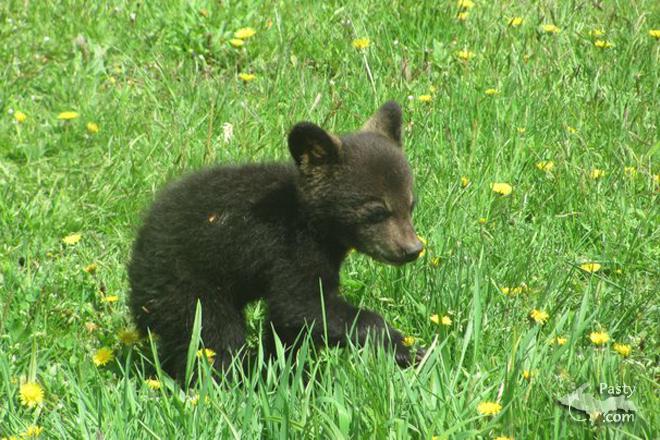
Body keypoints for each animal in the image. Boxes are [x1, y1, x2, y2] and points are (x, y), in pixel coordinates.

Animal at [128, 101, 424, 380]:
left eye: (410, 206)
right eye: (377, 211)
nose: (413, 249)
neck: (310, 221)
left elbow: (288, 327)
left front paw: (285, 369)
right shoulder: (288, 249)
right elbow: (300, 305)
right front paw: (404, 347)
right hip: (187, 284)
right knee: (212, 336)